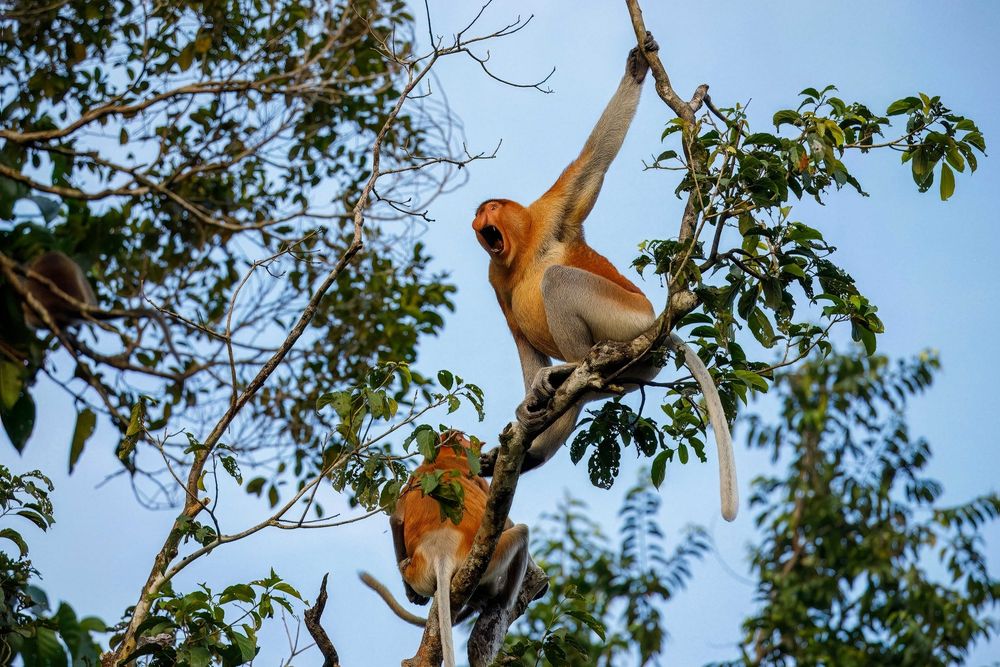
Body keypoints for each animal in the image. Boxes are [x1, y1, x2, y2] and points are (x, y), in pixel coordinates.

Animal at [390, 431, 533, 667]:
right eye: (464, 439)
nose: (477, 447)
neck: (437, 460)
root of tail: (441, 553)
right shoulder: (477, 476)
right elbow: (506, 521)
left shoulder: (410, 481)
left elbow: (396, 519)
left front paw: (412, 596)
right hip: (491, 558)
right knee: (521, 531)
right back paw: (502, 601)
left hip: (418, 573)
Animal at [471, 33, 738, 521]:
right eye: (481, 213)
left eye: (493, 207)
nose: (479, 217)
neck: (521, 251)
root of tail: (656, 325)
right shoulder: (495, 276)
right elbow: (521, 339)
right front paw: (526, 416)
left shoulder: (549, 212)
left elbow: (592, 164)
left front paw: (636, 68)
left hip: (626, 318)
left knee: (558, 281)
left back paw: (569, 368)